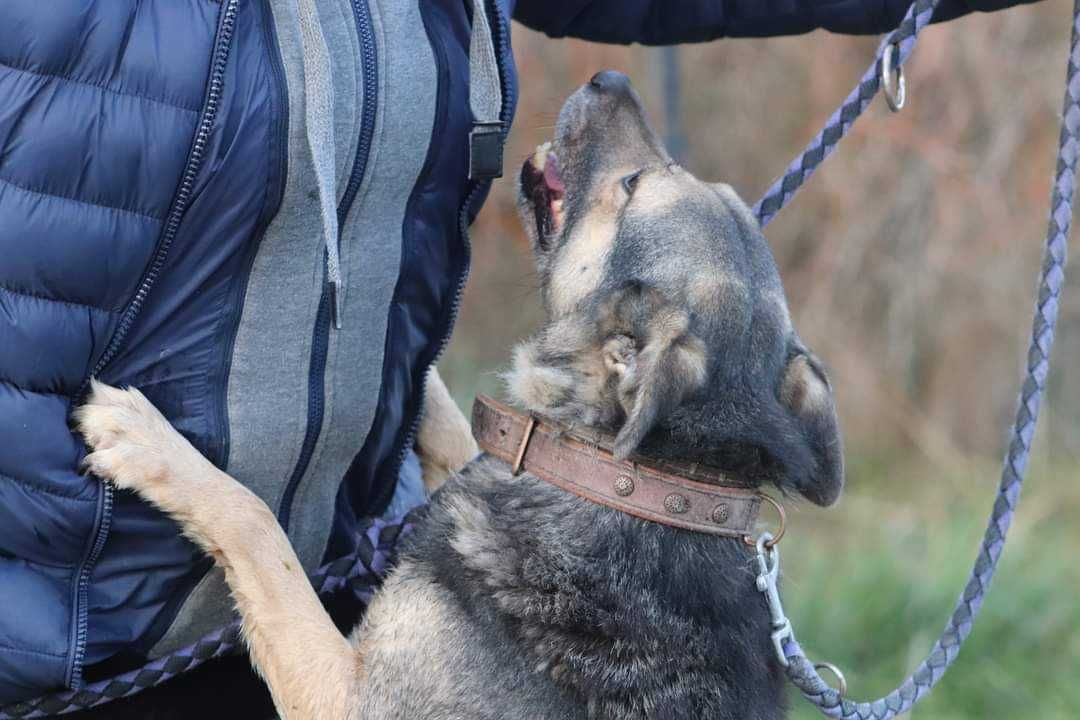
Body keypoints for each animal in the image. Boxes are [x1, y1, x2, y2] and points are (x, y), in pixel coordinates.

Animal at [78, 69, 842, 720]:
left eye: (630, 185)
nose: (610, 77)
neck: (628, 480)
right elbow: (454, 423)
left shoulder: (343, 692)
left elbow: (257, 526)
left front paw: (149, 445)